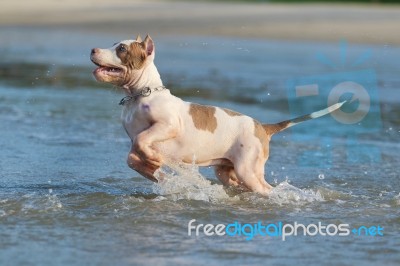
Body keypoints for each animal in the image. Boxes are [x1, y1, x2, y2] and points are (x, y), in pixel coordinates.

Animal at [90, 34, 344, 194]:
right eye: (114, 44)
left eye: (122, 49)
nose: (93, 49)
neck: (141, 95)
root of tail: (263, 126)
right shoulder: (135, 139)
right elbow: (133, 158)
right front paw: (156, 170)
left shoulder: (169, 125)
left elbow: (143, 140)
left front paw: (154, 160)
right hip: (228, 170)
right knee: (236, 183)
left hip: (248, 169)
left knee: (266, 189)